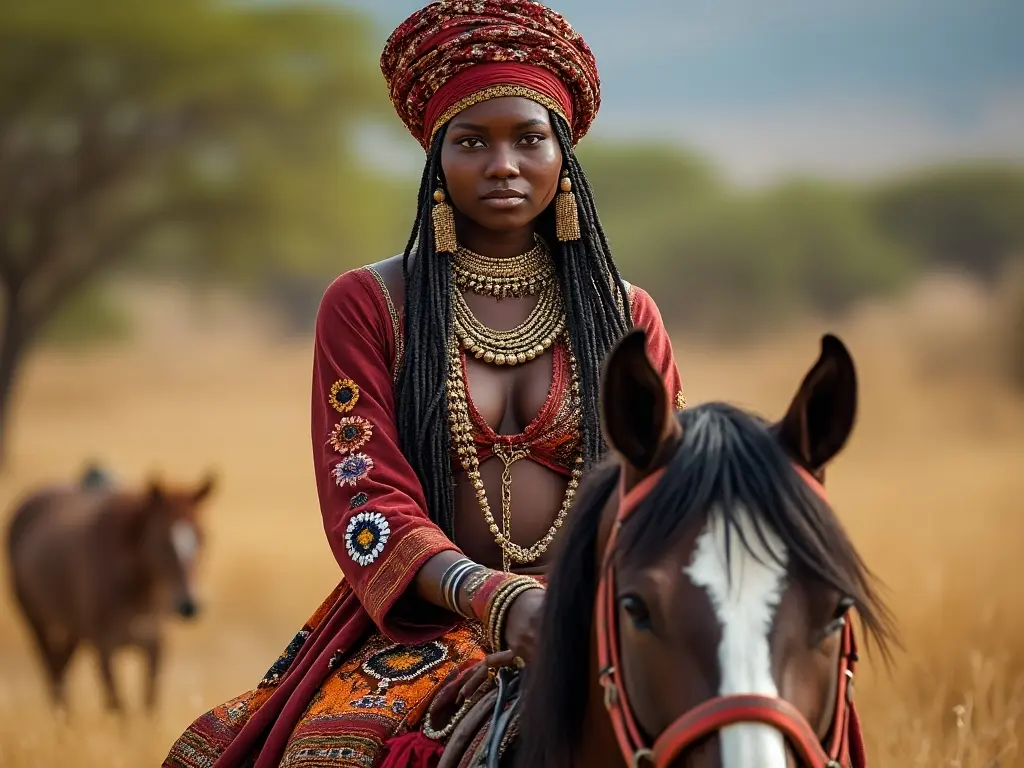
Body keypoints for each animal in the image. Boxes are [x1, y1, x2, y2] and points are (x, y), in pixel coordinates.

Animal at [4, 468, 217, 716]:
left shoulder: (154, 645)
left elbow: (149, 705)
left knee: (61, 669)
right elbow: (118, 708)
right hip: (35, 620)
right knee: (53, 673)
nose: (189, 606)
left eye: (202, 538)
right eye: (161, 540)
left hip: (74, 631)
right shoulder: (104, 650)